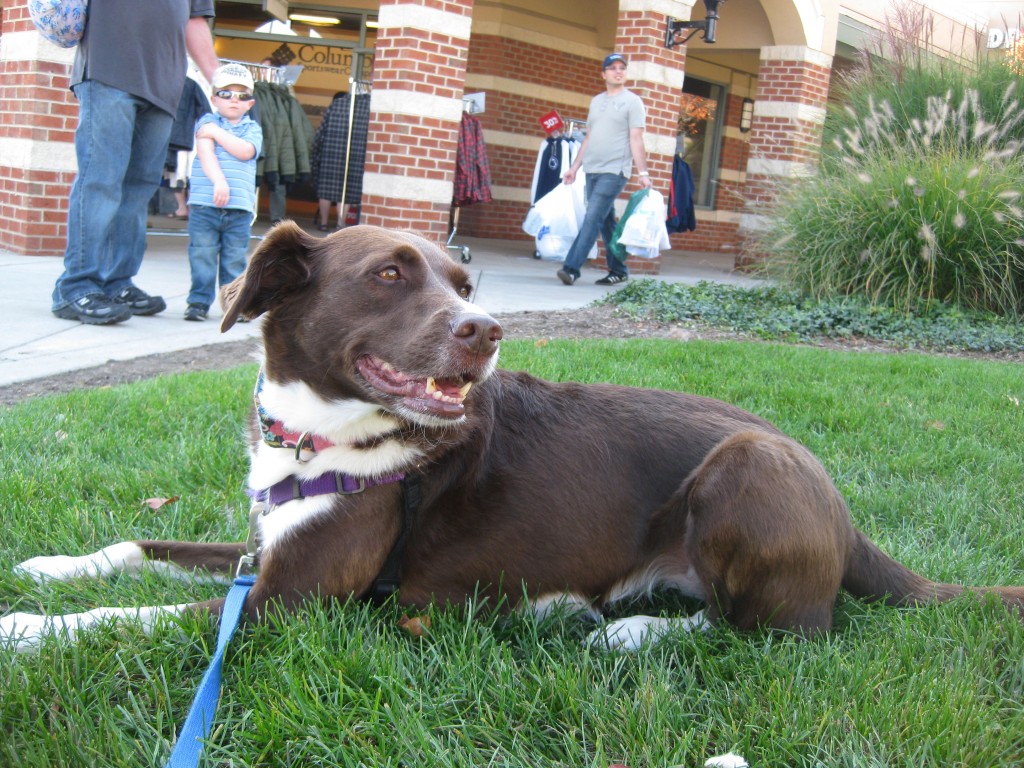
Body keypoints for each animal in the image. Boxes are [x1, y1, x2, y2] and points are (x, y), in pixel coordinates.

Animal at [2, 221, 1024, 651]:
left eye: (464, 283)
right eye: (388, 274)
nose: (487, 330)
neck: (323, 437)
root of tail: (848, 520)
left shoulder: (291, 602)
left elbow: (138, 615)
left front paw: (27, 629)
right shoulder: (264, 553)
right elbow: (143, 550)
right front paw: (54, 567)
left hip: (747, 465)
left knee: (781, 632)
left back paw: (627, 630)